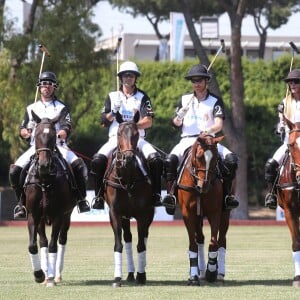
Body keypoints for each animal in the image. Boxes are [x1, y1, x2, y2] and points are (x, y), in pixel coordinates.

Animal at [24, 109, 76, 288]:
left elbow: (54, 245)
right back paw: (47, 273)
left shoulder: (59, 214)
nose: (44, 166)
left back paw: (56, 274)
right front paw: (40, 274)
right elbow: (34, 245)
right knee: (43, 242)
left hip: (67, 216)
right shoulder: (33, 215)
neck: (45, 180)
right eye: (36, 134)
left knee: (61, 240)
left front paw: (52, 278)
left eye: (54, 136)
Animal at [103, 111, 155, 288]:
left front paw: (142, 276)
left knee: (143, 237)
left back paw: (140, 271)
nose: (129, 159)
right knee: (128, 239)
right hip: (125, 217)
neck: (127, 179)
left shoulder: (143, 213)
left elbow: (141, 245)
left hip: (149, 214)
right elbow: (119, 244)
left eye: (136, 134)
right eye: (119, 134)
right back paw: (131, 273)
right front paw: (117, 278)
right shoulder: (115, 213)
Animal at [176, 134, 230, 286]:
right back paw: (199, 272)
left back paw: (219, 273)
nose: (204, 186)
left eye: (216, 157)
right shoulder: (188, 213)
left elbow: (213, 243)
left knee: (222, 240)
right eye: (199, 156)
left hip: (225, 213)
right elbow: (193, 244)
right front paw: (194, 276)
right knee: (199, 238)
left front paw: (211, 271)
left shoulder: (215, 212)